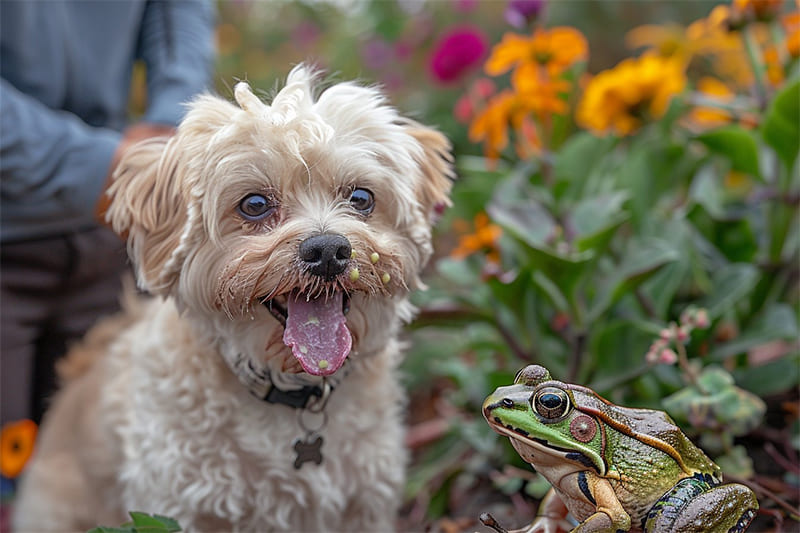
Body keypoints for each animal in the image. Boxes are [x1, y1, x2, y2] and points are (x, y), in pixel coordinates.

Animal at [12, 67, 454, 532]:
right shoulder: (174, 508)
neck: (293, 392)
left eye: (361, 198)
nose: (328, 250)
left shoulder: (365, 506)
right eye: (255, 204)